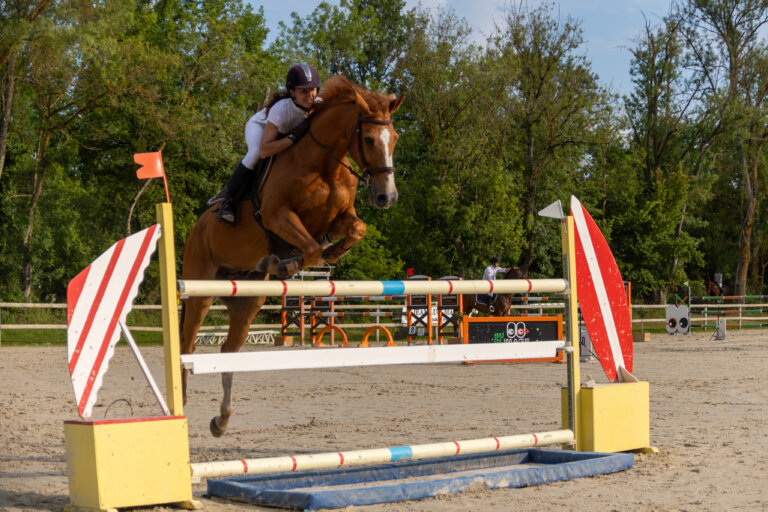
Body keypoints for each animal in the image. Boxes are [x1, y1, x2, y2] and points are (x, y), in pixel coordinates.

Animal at [179, 75, 404, 437]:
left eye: (394, 138)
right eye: (369, 139)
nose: (387, 196)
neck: (324, 164)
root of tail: (196, 229)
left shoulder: (336, 218)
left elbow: (355, 230)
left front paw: (327, 252)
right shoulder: (278, 216)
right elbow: (310, 250)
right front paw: (290, 262)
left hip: (246, 300)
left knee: (228, 351)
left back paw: (221, 420)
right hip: (200, 290)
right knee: (187, 347)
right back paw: (182, 406)